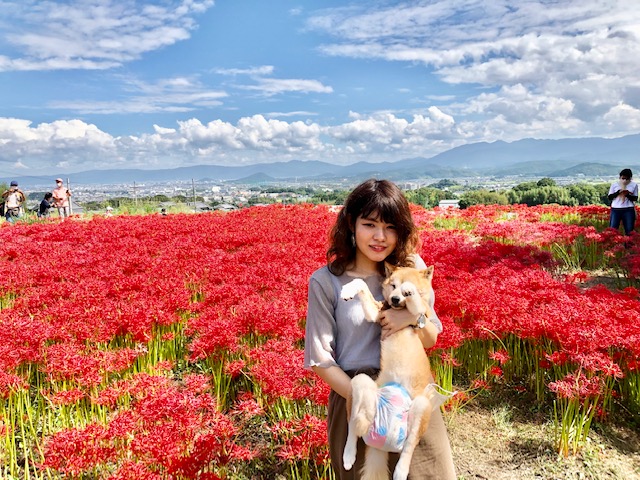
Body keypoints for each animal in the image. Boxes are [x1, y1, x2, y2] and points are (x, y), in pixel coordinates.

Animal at [340, 262, 444, 480]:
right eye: (392, 285)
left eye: (403, 290)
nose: (395, 298)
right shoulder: (377, 313)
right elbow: (360, 283)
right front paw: (347, 290)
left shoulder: (421, 313)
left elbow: (417, 303)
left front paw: (412, 293)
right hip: (360, 383)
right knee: (353, 425)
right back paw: (350, 452)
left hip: (421, 405)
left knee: (409, 446)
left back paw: (401, 471)